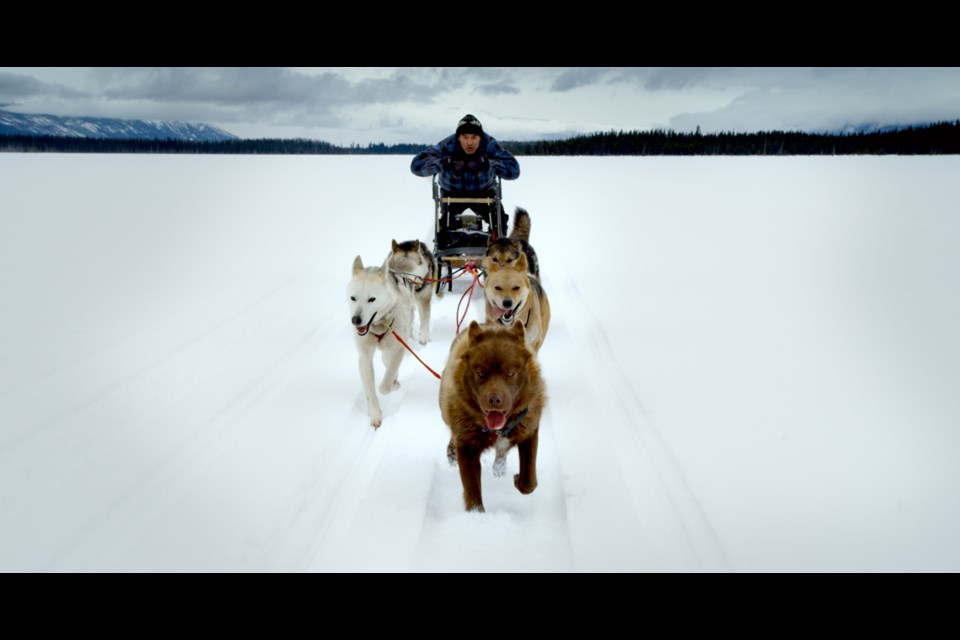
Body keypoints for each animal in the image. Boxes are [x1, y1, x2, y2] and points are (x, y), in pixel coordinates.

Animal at [350, 254, 414, 424]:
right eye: (353, 298)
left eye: (371, 299)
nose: (355, 320)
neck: (378, 325)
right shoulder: (365, 356)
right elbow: (370, 389)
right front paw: (374, 413)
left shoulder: (399, 348)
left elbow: (384, 386)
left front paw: (393, 385)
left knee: (389, 363)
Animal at [438, 322, 544, 512]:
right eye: (481, 373)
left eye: (510, 373)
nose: (494, 400)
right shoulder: (468, 448)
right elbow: (472, 492)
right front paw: (476, 516)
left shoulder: (529, 430)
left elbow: (529, 481)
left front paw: (518, 479)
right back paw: (451, 454)